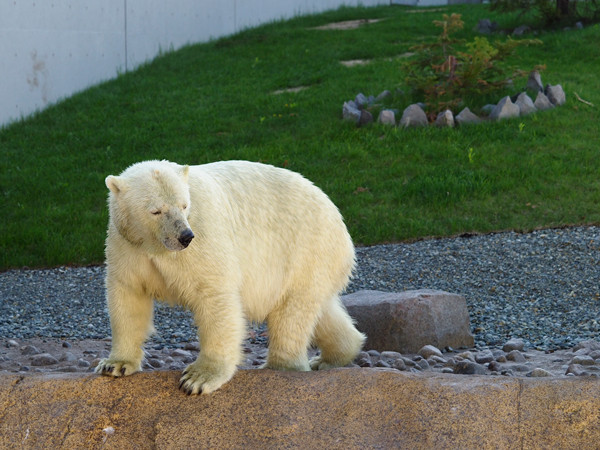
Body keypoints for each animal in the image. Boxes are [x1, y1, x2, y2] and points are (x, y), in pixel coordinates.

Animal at [96, 160, 366, 392]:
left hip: (304, 250)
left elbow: (214, 295)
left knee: (291, 313)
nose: (185, 236)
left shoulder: (203, 236)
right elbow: (128, 296)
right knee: (319, 309)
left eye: (184, 205)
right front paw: (115, 364)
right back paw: (334, 356)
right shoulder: (128, 246)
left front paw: (198, 378)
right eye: (155, 211)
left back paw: (280, 367)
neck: (155, 245)